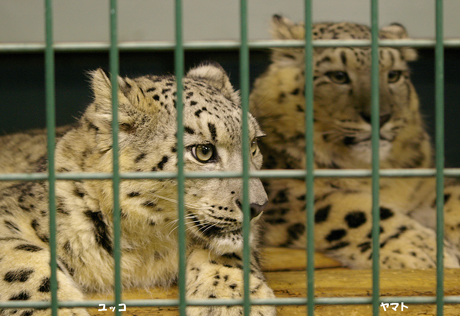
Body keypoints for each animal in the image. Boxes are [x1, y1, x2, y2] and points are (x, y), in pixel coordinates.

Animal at [0, 63, 276, 314]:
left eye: (253, 144)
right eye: (204, 151)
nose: (258, 205)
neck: (147, 248)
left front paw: (231, 298)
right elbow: (23, 259)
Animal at [250, 16, 460, 270]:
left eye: (393, 75)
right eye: (338, 76)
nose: (381, 116)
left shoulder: (423, 187)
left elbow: (451, 195)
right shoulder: (287, 198)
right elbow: (354, 212)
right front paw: (426, 250)